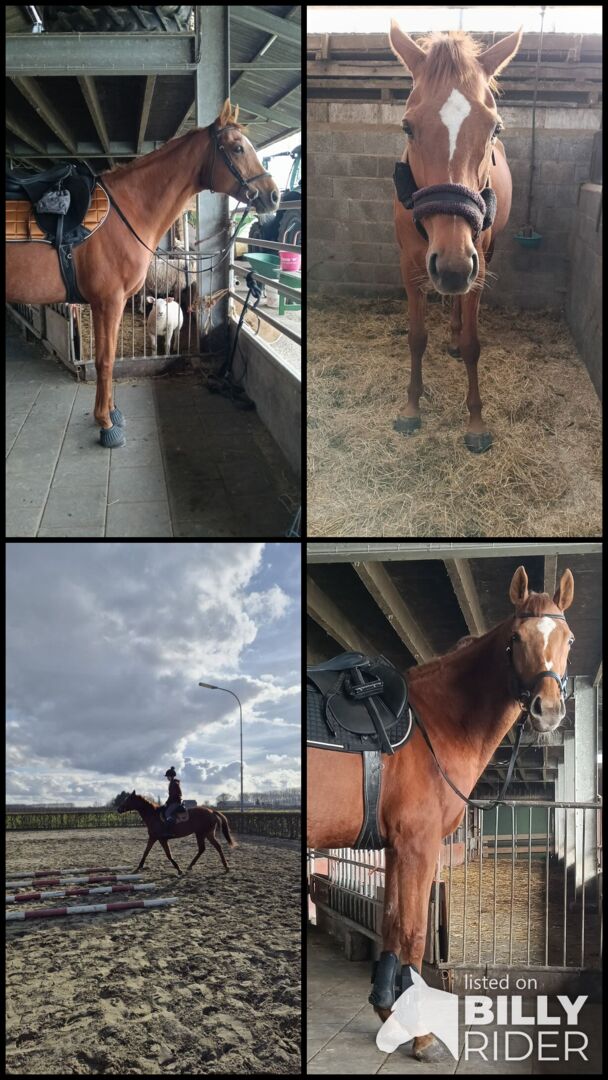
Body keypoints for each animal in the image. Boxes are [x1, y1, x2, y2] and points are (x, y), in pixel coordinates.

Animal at [6, 98, 280, 447]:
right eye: (237, 148)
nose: (274, 196)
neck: (125, 213)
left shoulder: (113, 302)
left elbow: (107, 357)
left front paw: (112, 413)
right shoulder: (108, 302)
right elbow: (105, 360)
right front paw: (106, 424)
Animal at [307, 565, 575, 1060]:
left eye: (567, 638)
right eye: (517, 637)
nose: (546, 711)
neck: (435, 722)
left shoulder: (395, 847)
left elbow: (393, 927)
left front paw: (387, 1011)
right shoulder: (418, 844)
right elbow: (414, 934)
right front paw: (420, 1036)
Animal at [389, 23, 522, 452]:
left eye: (494, 128)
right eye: (407, 127)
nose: (451, 267)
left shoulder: (475, 269)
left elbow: (472, 345)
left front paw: (476, 422)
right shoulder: (410, 265)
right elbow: (416, 337)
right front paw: (411, 408)